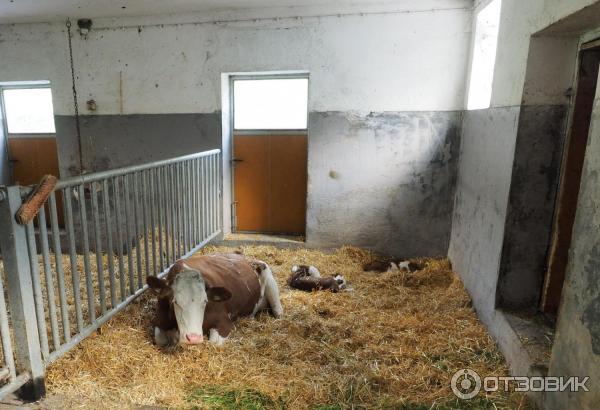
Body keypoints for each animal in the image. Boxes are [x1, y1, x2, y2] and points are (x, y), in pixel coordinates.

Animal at [147, 253, 284, 346]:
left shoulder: (224, 323)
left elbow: (214, 342)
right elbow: (160, 339)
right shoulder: (159, 319)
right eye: (175, 302)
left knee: (278, 310)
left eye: (205, 301)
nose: (194, 338)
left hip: (269, 279)